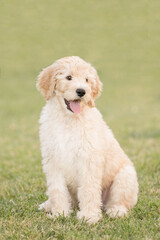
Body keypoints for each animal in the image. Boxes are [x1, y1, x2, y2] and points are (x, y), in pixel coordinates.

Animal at [37, 55, 138, 223]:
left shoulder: (88, 159)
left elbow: (88, 189)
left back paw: (116, 211)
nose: (81, 91)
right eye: (68, 77)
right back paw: (48, 205)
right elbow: (57, 189)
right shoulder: (53, 160)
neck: (68, 119)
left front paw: (89, 216)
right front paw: (59, 213)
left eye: (86, 80)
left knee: (118, 202)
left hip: (125, 176)